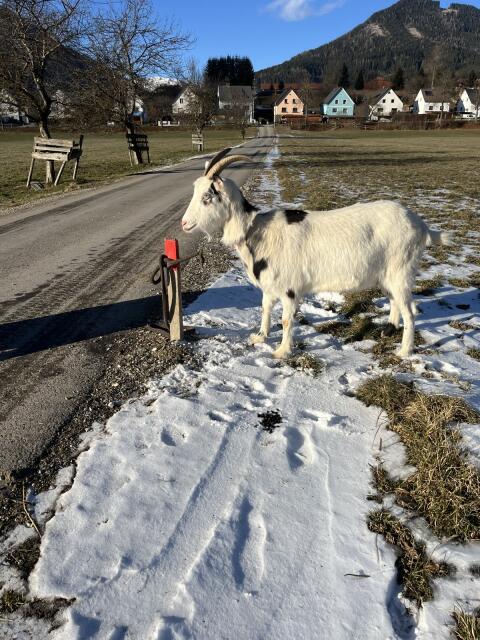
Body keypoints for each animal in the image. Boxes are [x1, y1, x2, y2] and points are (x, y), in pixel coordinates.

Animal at [182, 148, 451, 359]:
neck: (256, 230)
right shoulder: (270, 286)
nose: (184, 224)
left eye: (207, 197)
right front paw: (259, 337)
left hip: (400, 270)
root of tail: (422, 227)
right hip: (386, 274)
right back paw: (388, 329)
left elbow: (286, 319)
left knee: (410, 311)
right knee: (395, 301)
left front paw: (282, 351)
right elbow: (265, 309)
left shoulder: (289, 289)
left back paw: (404, 351)